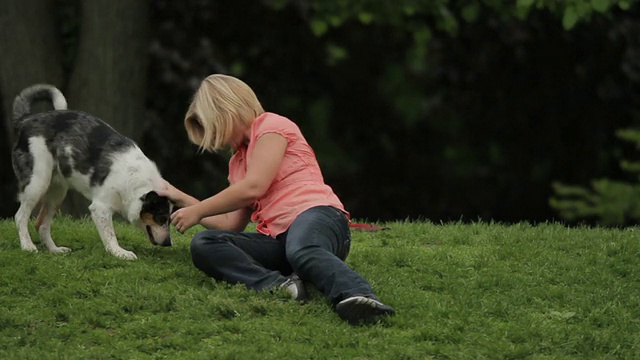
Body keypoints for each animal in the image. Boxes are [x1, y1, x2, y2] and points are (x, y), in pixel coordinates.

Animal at [12, 84, 172, 258]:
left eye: (169, 220)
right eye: (161, 218)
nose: (168, 243)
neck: (134, 178)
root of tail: (26, 119)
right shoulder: (100, 208)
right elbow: (110, 235)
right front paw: (120, 253)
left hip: (56, 193)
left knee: (41, 224)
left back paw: (55, 250)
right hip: (37, 184)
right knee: (20, 217)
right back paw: (27, 246)